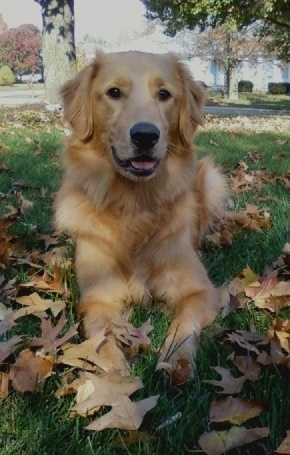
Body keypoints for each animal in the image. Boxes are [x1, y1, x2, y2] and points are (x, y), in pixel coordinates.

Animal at [54, 50, 227, 378]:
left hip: (211, 177)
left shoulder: (201, 292)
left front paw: (176, 361)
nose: (145, 135)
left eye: (164, 94)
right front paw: (115, 375)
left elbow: (184, 324)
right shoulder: (97, 298)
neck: (134, 206)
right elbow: (102, 336)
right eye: (114, 92)